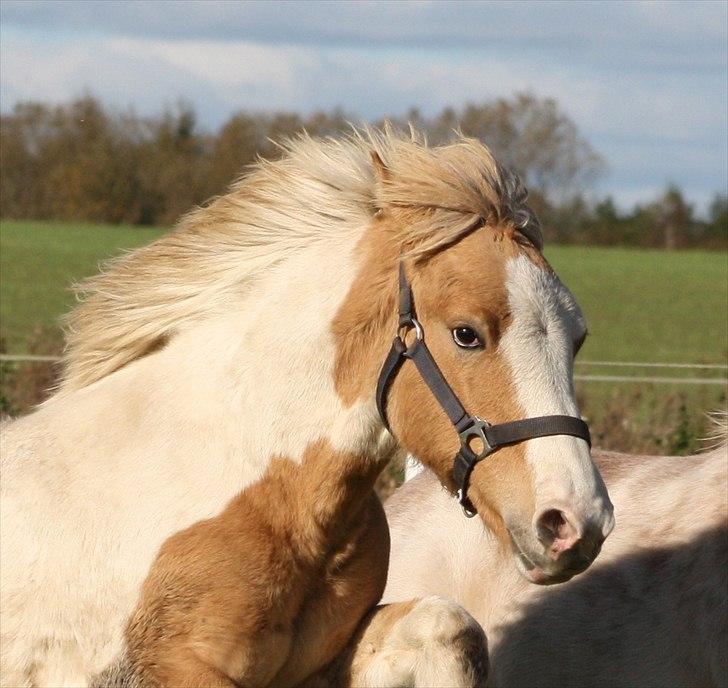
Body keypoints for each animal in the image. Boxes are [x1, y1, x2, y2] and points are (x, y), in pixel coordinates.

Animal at [0, 130, 616, 688]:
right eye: (467, 333)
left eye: (578, 338)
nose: (575, 523)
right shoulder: (183, 669)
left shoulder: (323, 661)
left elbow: (450, 627)